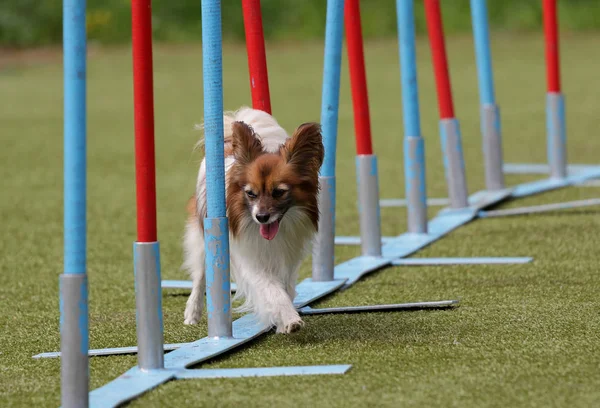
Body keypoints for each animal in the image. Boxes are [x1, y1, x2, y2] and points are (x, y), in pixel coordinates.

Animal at [182, 107, 324, 334]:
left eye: (279, 192)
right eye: (250, 194)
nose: (261, 217)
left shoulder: (287, 256)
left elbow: (285, 288)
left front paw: (282, 321)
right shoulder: (249, 260)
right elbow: (272, 290)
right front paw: (289, 318)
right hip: (202, 239)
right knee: (200, 276)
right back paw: (192, 313)